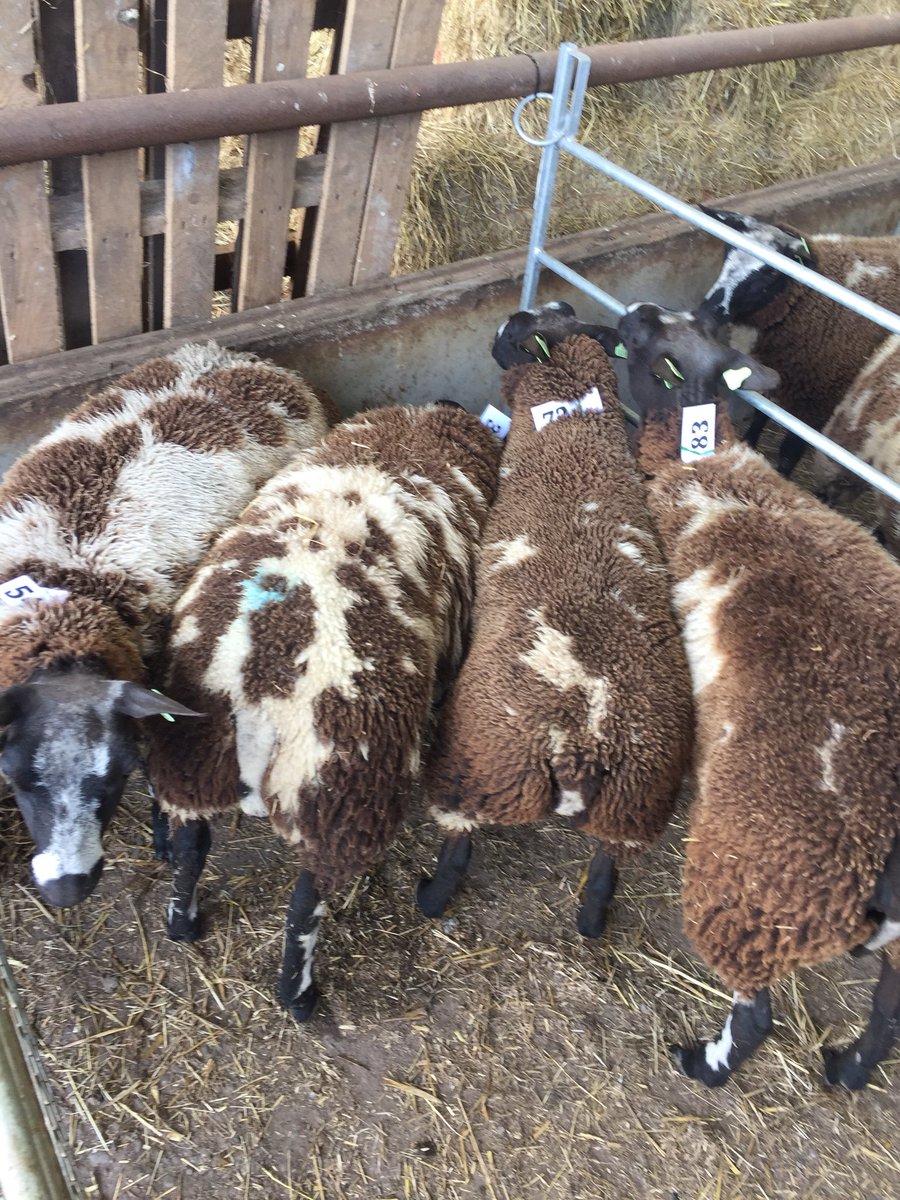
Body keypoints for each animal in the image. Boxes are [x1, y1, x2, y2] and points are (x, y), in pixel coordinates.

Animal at [0, 343, 330, 908]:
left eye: (120, 771)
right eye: (14, 774)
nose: (68, 886)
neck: (66, 594)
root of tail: (234, 355)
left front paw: (163, 837)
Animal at [143, 403, 501, 1021]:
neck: (406, 441)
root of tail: (254, 684)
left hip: (194, 762)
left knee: (191, 845)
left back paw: (183, 924)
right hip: (340, 791)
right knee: (305, 902)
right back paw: (300, 995)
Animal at [416, 311, 694, 939]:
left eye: (514, 333)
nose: (491, 339)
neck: (571, 426)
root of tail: (581, 744)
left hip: (480, 768)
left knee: (458, 846)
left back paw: (429, 897)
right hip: (633, 806)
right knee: (606, 870)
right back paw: (591, 919)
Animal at [697, 206, 900, 477]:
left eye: (771, 272)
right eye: (727, 251)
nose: (708, 311)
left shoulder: (816, 403)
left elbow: (789, 451)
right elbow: (761, 415)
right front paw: (749, 444)